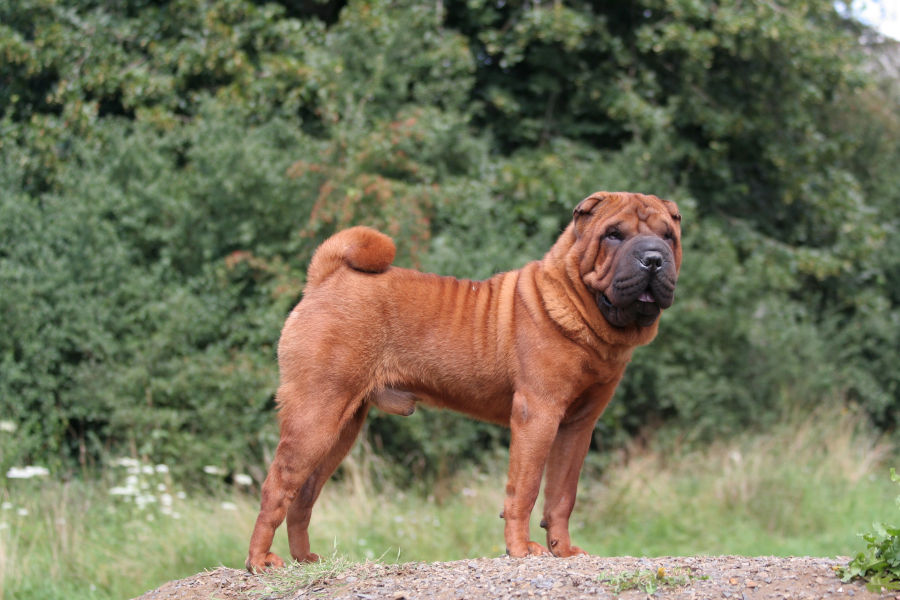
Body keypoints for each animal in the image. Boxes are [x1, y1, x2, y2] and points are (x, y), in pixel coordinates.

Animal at [246, 192, 684, 572]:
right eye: (614, 235)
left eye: (668, 235)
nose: (653, 259)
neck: (582, 308)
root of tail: (326, 277)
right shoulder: (538, 414)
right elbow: (524, 489)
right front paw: (521, 549)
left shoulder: (578, 425)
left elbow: (562, 494)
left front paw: (563, 550)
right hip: (316, 414)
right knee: (276, 487)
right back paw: (259, 562)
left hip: (341, 426)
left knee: (303, 495)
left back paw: (305, 560)